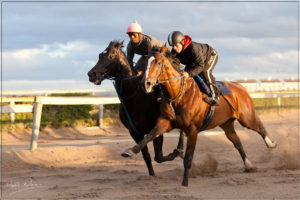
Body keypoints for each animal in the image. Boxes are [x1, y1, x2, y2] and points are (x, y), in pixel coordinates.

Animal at [87, 41, 185, 176]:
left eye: (111, 56)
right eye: (100, 55)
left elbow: (158, 157)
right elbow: (147, 156)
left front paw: (177, 152)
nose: (92, 74)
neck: (136, 97)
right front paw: (152, 174)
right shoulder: (135, 132)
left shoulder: (157, 127)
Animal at [122, 44, 276, 187]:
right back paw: (249, 165)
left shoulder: (193, 129)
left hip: (246, 118)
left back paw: (271, 144)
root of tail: (241, 87)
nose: (146, 84)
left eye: (158, 62)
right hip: (226, 123)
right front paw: (130, 151)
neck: (177, 94)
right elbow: (149, 135)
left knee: (259, 127)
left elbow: (188, 158)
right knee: (236, 141)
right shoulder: (165, 121)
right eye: (145, 62)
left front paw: (185, 182)